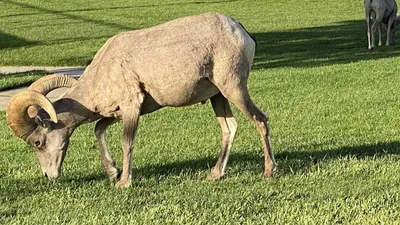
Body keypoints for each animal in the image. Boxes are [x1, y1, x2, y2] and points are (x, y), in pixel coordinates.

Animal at [7, 12, 276, 188]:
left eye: (38, 142)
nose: (48, 176)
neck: (103, 72)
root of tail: (242, 32)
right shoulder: (116, 113)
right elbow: (98, 129)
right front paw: (112, 172)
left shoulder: (132, 107)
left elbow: (127, 142)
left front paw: (123, 182)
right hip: (218, 97)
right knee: (229, 128)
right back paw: (215, 174)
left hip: (233, 88)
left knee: (260, 119)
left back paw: (269, 171)